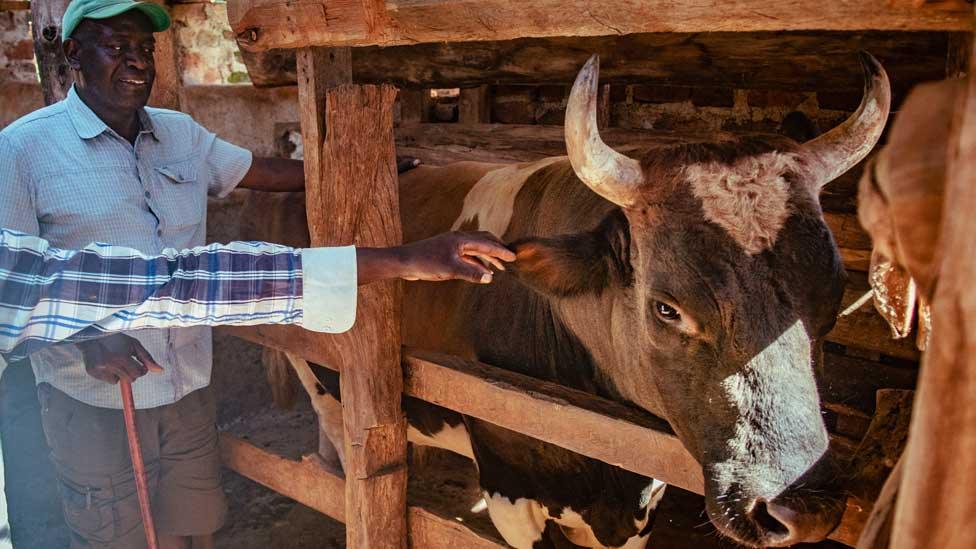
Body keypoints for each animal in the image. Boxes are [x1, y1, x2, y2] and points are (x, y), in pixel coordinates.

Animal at [254, 52, 892, 548]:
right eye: (666, 308)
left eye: (833, 296)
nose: (801, 506)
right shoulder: (511, 492)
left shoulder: (636, 498)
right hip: (320, 376)